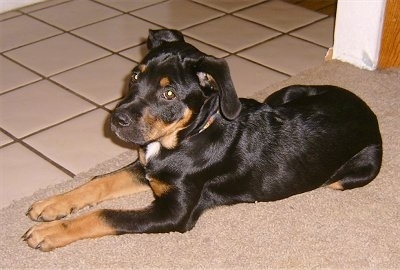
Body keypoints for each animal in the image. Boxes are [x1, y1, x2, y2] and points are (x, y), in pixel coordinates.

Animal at [23, 29, 382, 251]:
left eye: (169, 93)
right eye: (136, 75)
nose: (117, 120)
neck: (185, 137)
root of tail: (365, 108)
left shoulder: (173, 213)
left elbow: (107, 214)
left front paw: (49, 232)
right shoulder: (147, 168)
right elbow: (100, 181)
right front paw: (51, 204)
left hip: (355, 173)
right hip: (284, 94)